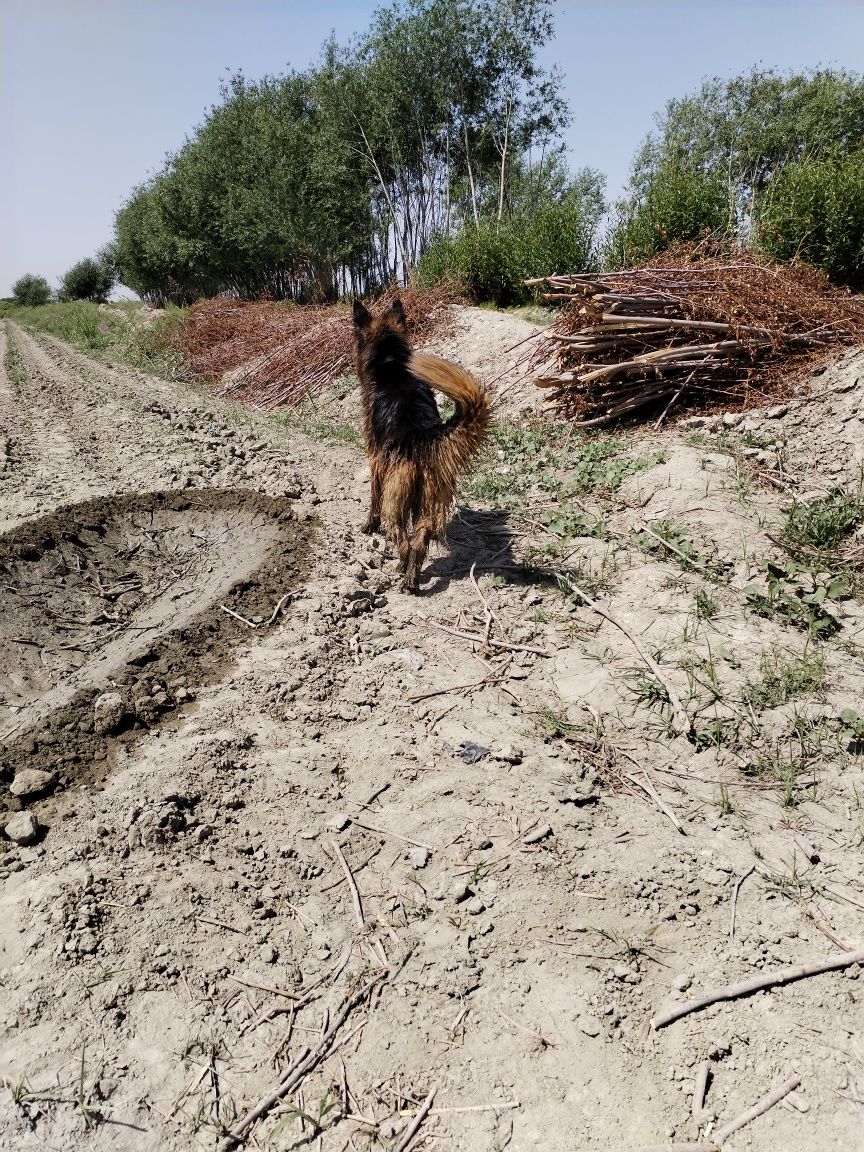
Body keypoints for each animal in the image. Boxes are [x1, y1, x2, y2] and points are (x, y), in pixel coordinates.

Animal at [350, 297, 488, 594]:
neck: (391, 363)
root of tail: (421, 437)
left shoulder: (375, 460)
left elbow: (373, 500)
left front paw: (369, 525)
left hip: (395, 501)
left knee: (404, 541)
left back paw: (402, 570)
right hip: (428, 499)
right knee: (420, 540)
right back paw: (411, 578)